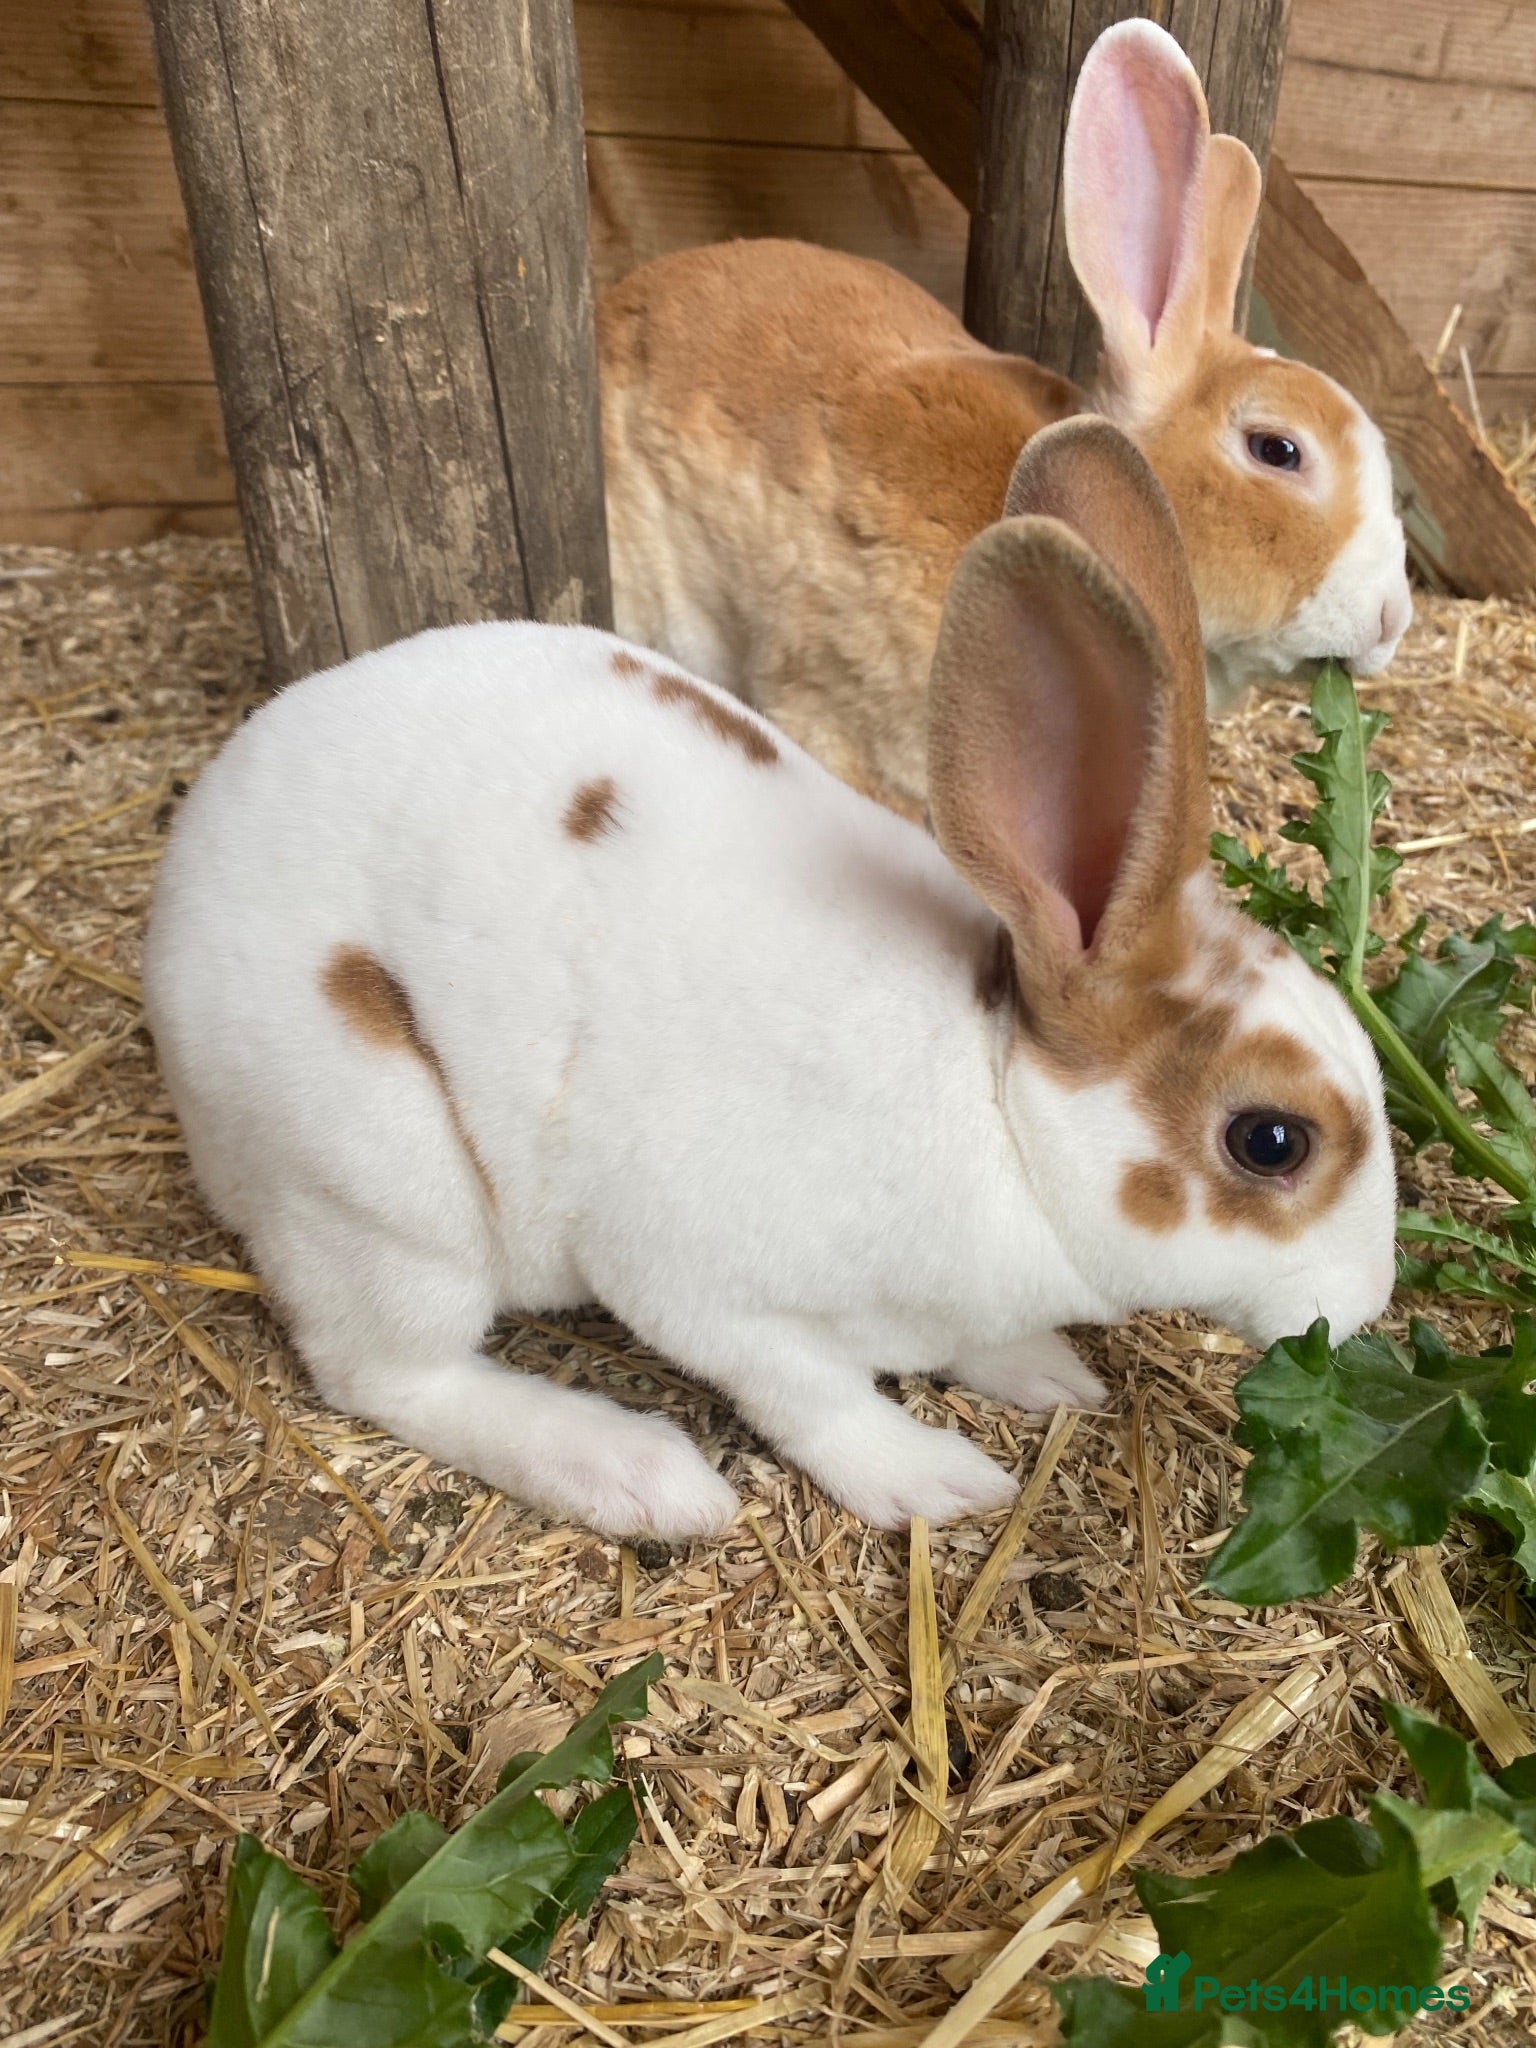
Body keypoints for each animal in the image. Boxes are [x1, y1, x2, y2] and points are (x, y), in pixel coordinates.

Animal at [143, 417, 1397, 1543]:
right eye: (1270, 1141)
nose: (1367, 1301)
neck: (1000, 1109)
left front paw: (1043, 1371)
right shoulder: (698, 1285)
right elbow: (813, 1395)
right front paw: (933, 1478)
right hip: (387, 1190)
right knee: (388, 1372)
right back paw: (641, 1476)